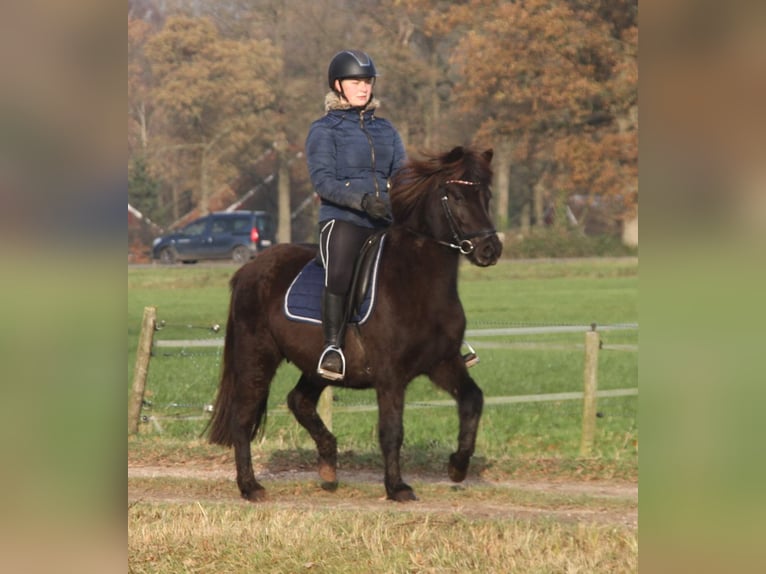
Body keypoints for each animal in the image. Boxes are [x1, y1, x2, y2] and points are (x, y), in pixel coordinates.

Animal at [208, 146, 504, 502]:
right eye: (457, 196)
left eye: (486, 195)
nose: (490, 249)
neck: (418, 283)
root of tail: (248, 270)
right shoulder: (390, 375)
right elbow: (392, 430)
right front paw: (397, 487)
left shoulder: (442, 363)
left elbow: (473, 400)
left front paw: (457, 466)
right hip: (257, 356)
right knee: (243, 418)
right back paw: (250, 487)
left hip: (315, 365)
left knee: (299, 400)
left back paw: (328, 464)